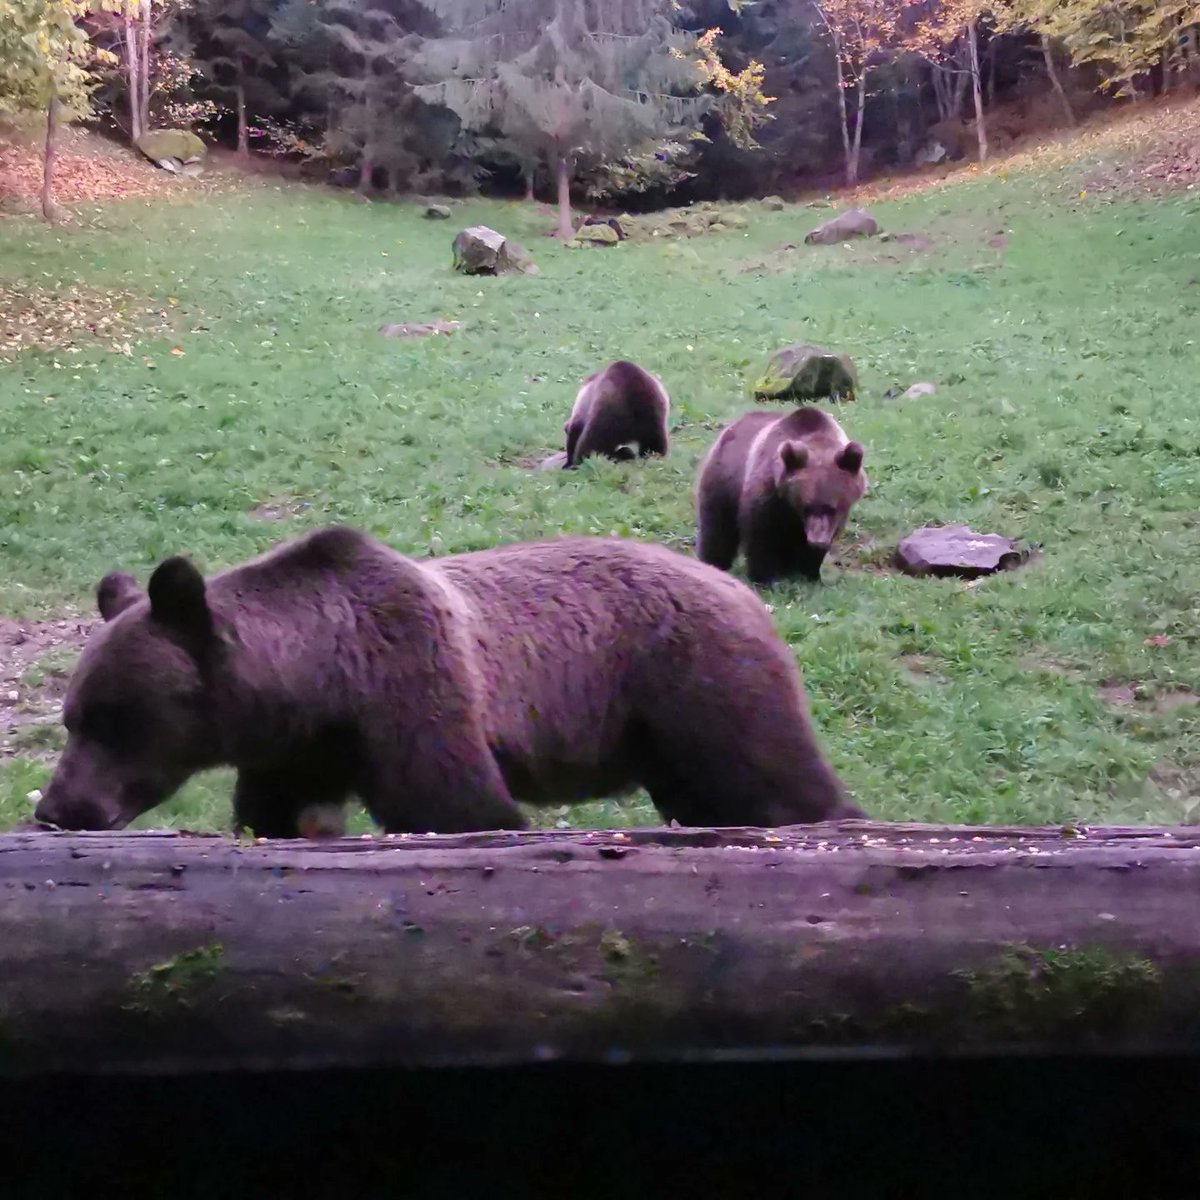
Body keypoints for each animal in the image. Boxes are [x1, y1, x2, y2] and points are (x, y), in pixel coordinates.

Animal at [33, 525, 864, 839]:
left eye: (110, 719)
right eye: (73, 716)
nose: (56, 807)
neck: (319, 678)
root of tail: (746, 593)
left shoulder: (413, 684)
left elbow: (459, 805)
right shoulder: (297, 748)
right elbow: (277, 815)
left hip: (696, 682)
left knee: (776, 773)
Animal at [695, 406, 868, 585]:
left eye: (831, 508)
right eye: (807, 507)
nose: (817, 540)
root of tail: (732, 426)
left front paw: (810, 574)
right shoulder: (769, 493)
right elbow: (761, 533)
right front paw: (765, 577)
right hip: (724, 480)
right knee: (717, 526)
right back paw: (714, 563)